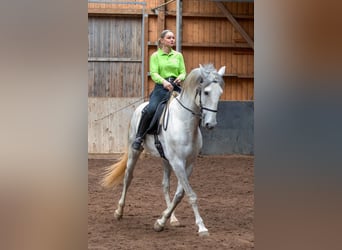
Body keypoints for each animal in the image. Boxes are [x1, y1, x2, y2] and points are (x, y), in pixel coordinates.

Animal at [101, 64, 224, 236]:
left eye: (220, 92)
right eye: (206, 92)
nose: (210, 124)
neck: (184, 123)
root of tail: (140, 107)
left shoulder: (188, 164)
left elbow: (180, 194)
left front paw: (161, 221)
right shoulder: (178, 163)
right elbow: (191, 195)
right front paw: (202, 227)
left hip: (166, 159)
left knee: (165, 185)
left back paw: (172, 218)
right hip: (135, 151)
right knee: (128, 177)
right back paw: (119, 212)